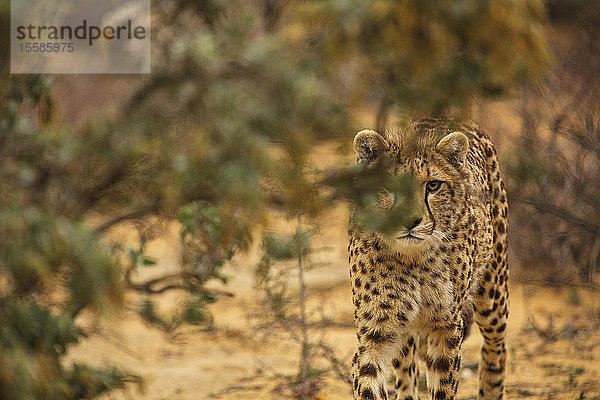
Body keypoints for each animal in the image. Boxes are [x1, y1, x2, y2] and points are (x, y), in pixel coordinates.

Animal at [350, 119, 508, 400]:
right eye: (389, 186)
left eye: (433, 185)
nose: (411, 221)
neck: (412, 259)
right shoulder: (375, 333)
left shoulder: (446, 327)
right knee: (406, 366)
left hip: (493, 293)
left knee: (496, 346)